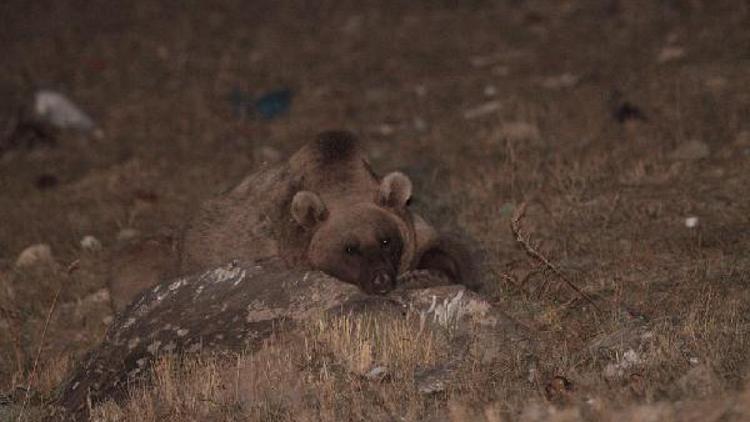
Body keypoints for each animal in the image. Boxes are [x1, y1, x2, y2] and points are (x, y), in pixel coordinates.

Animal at [179, 130, 472, 296]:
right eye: (350, 248)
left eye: (386, 240)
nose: (380, 279)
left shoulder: (413, 229)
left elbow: (442, 250)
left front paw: (425, 275)